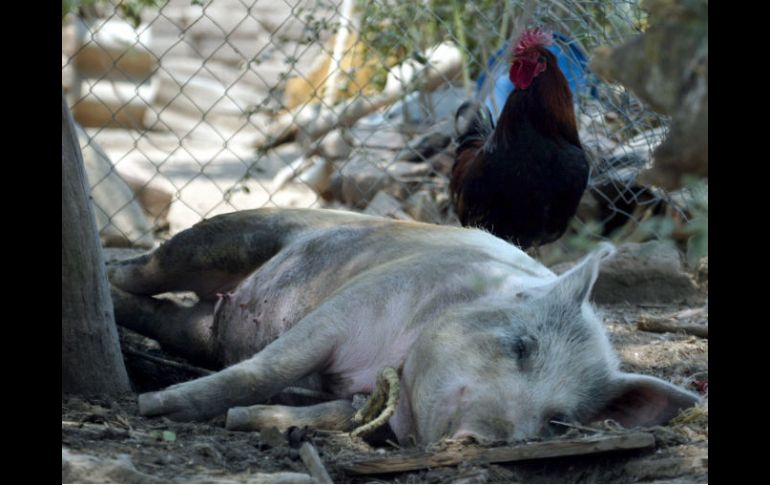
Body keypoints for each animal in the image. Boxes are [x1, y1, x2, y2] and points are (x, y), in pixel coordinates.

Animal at [108, 208, 700, 445]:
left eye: (558, 420)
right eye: (520, 346)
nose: (484, 439)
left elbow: (331, 411)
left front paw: (249, 421)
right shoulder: (352, 305)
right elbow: (271, 366)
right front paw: (156, 408)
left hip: (204, 330)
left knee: (167, 317)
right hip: (231, 235)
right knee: (146, 269)